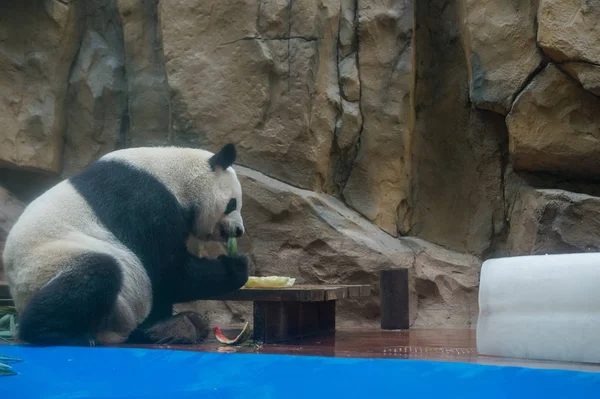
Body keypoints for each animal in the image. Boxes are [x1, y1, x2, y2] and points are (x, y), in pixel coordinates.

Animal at [1, 144, 247, 346]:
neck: (175, 175)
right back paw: (60, 334)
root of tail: (18, 296)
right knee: (96, 272)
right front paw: (236, 266)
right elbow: (169, 273)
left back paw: (172, 328)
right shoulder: (145, 203)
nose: (239, 231)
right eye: (232, 204)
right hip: (47, 264)